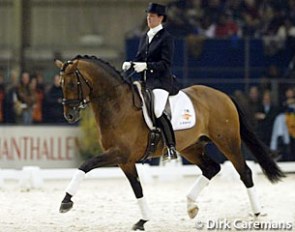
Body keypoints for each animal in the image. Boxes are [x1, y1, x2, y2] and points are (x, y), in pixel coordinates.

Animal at [54, 55, 286, 230]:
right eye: (61, 85)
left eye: (72, 83)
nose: (69, 115)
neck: (117, 104)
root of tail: (223, 95)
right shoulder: (125, 160)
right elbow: (137, 188)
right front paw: (143, 220)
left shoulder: (119, 153)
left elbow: (85, 165)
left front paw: (66, 202)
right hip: (191, 147)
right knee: (212, 168)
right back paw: (191, 206)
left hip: (228, 142)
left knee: (244, 172)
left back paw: (257, 215)